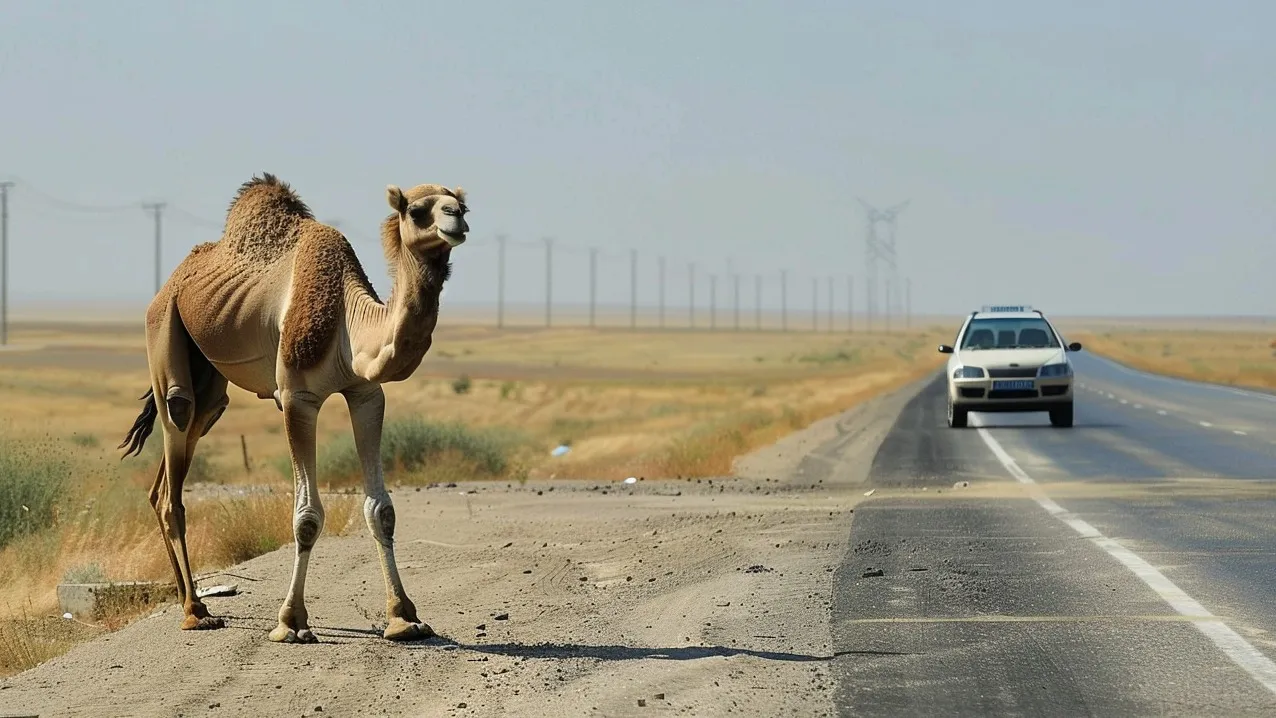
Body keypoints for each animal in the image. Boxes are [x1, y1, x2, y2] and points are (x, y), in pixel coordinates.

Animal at [118, 174, 469, 645]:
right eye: (417, 211)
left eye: (462, 206)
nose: (456, 221)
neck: (346, 322)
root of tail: (172, 282)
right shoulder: (297, 397)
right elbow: (306, 517)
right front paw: (291, 622)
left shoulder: (366, 394)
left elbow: (382, 510)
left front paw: (404, 618)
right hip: (164, 329)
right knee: (176, 431)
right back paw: (195, 613)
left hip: (210, 378)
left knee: (173, 468)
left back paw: (191, 601)